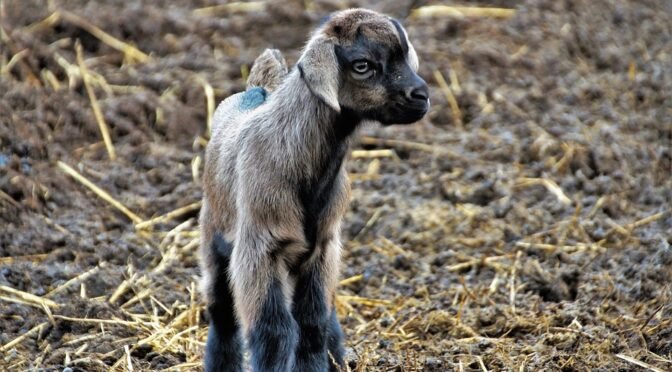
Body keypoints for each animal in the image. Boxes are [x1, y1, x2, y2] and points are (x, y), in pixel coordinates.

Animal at [201, 8, 430, 372]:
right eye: (362, 64)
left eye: (404, 56)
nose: (421, 96)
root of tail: (256, 89)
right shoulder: (259, 249)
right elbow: (273, 329)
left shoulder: (324, 248)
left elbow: (313, 320)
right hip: (214, 236)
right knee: (222, 313)